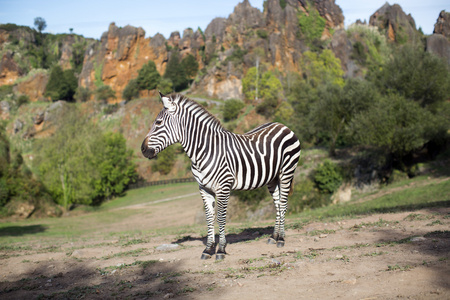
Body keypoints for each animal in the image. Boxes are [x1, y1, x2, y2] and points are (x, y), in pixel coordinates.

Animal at [142, 92, 300, 260]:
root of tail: (282, 125)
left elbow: (221, 217)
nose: (143, 149)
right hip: (272, 178)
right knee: (277, 204)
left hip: (287, 172)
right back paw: (273, 237)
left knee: (283, 203)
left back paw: (281, 239)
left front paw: (221, 250)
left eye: (158, 122)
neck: (203, 151)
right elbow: (209, 218)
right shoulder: (204, 188)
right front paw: (208, 249)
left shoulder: (223, 187)